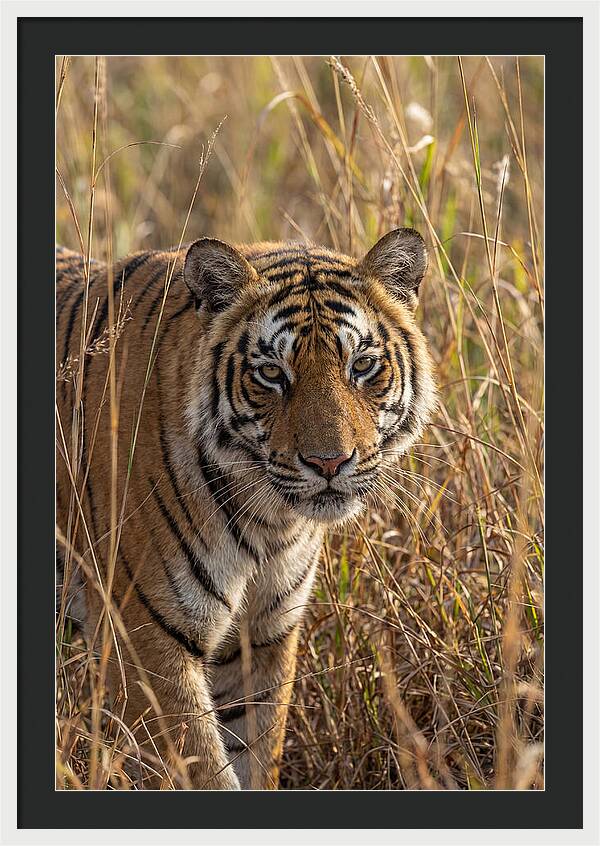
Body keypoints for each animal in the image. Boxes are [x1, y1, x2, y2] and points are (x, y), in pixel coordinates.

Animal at [56, 228, 437, 790]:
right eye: (272, 373)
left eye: (363, 366)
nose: (329, 462)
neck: (269, 522)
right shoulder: (145, 641)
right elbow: (202, 770)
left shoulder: (262, 635)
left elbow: (256, 752)